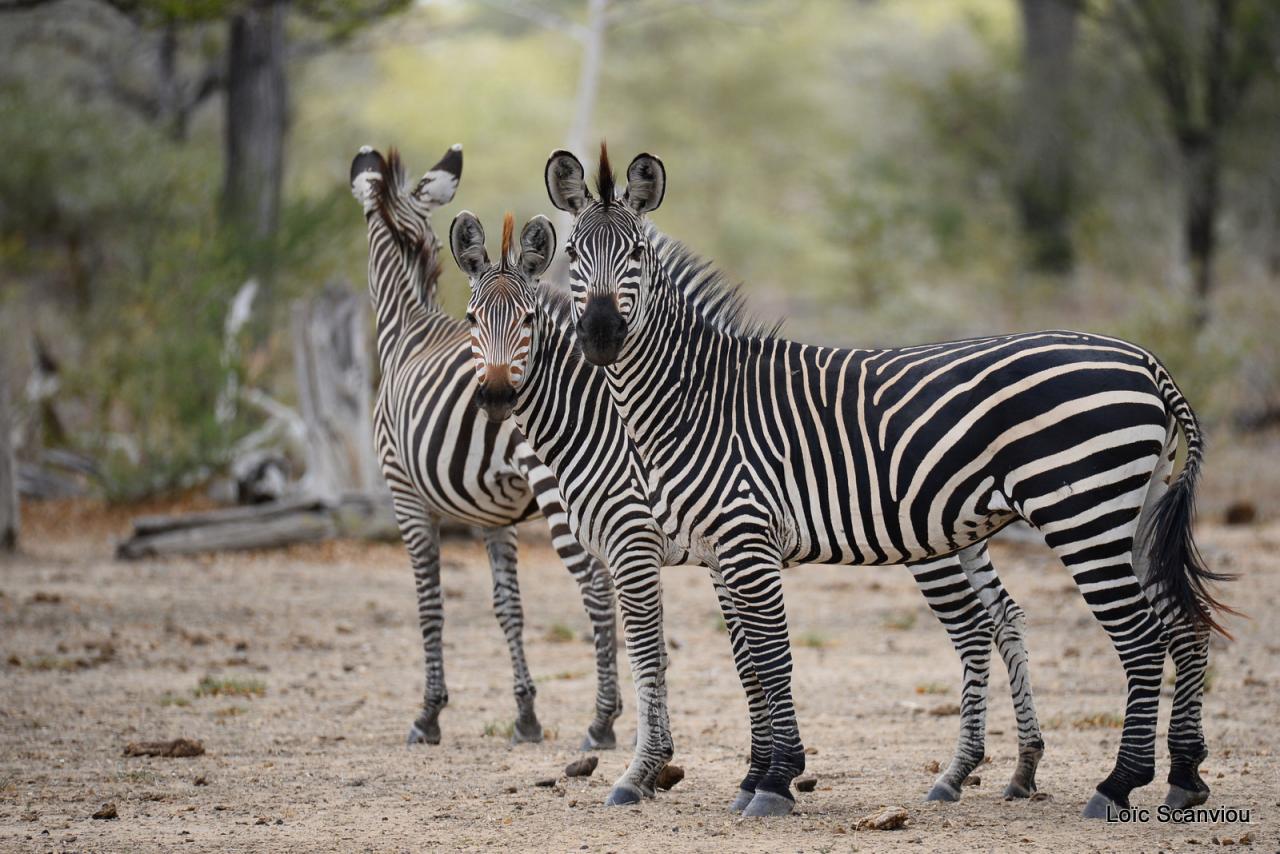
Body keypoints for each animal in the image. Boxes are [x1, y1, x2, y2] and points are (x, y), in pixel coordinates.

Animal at [348, 147, 622, 752]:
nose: (496, 396)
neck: (407, 328)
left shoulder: (406, 497)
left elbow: (430, 605)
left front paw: (428, 715)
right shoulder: (494, 518)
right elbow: (508, 608)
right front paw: (526, 714)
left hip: (560, 488)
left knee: (597, 585)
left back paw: (603, 722)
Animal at [453, 212, 1049, 809]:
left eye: (529, 319)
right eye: (471, 321)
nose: (496, 399)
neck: (607, 420)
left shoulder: (636, 542)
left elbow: (650, 653)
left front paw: (643, 771)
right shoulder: (708, 552)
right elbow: (727, 658)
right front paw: (728, 772)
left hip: (929, 545)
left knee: (973, 629)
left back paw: (959, 773)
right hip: (964, 531)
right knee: (1005, 616)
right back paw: (1020, 766)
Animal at [540, 147, 1228, 819]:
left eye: (637, 254)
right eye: (573, 256)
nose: (600, 336)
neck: (694, 397)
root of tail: (1145, 360)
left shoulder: (740, 538)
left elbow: (769, 656)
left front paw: (774, 781)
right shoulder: (719, 550)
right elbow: (749, 662)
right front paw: (757, 775)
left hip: (1083, 514)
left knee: (1141, 638)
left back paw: (1118, 784)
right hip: (1127, 515)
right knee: (1183, 625)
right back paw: (1184, 777)